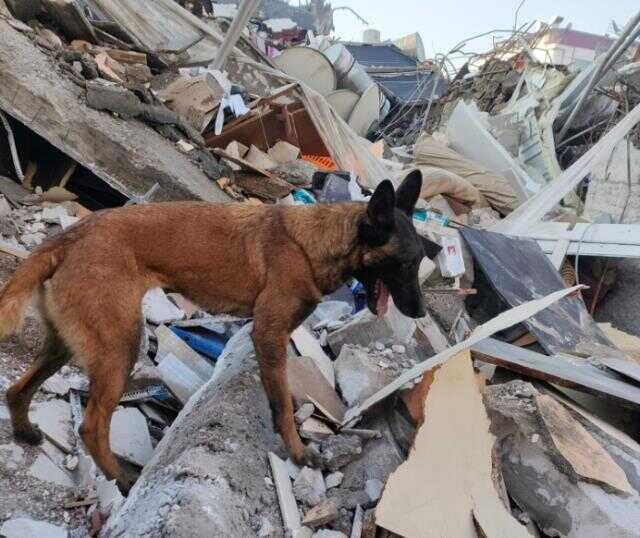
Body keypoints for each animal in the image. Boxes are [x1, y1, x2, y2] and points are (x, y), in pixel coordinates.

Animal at [0, 172, 440, 490]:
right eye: (403, 264)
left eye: (418, 262)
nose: (420, 311)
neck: (318, 243)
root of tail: (71, 234)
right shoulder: (270, 334)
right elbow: (282, 404)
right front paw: (298, 452)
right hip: (119, 348)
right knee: (91, 427)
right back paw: (120, 479)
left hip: (64, 346)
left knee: (18, 389)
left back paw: (24, 431)